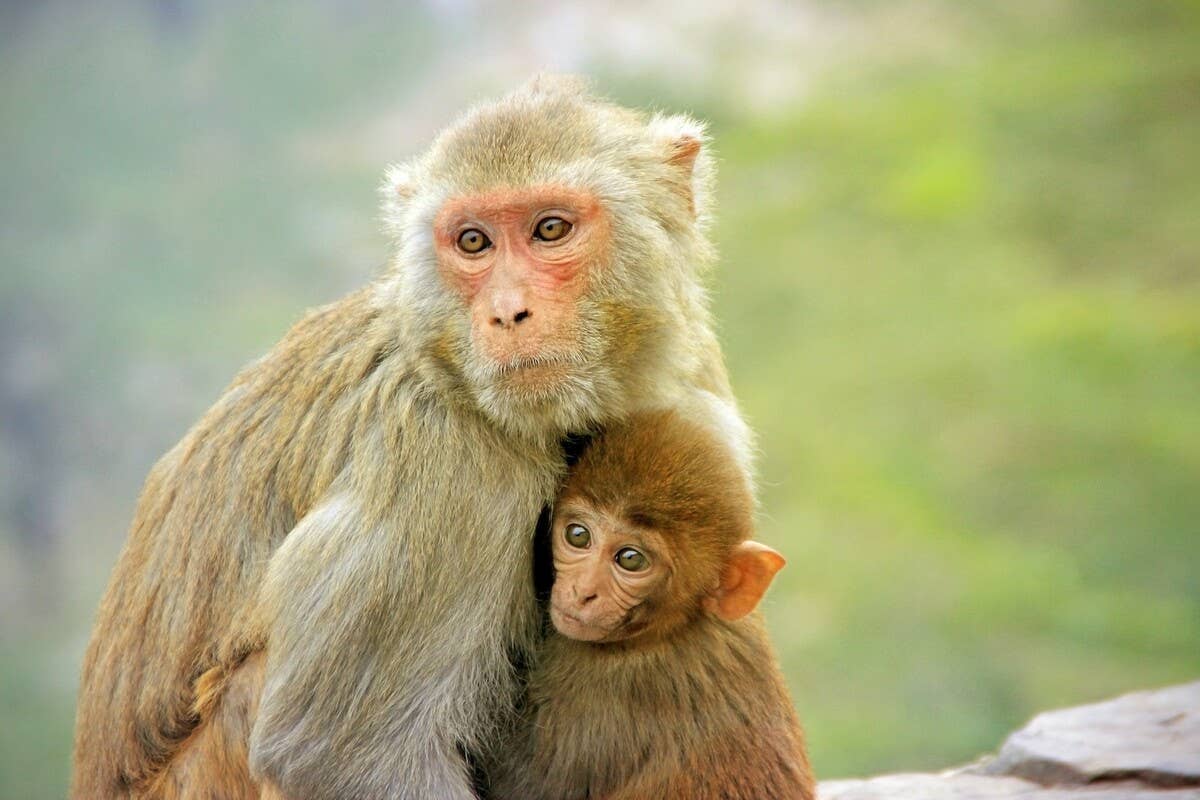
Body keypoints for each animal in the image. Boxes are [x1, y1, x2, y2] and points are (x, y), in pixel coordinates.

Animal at [71, 75, 755, 800]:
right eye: (474, 242)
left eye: (550, 229)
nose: (507, 313)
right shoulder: (451, 464)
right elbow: (342, 754)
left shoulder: (695, 387)